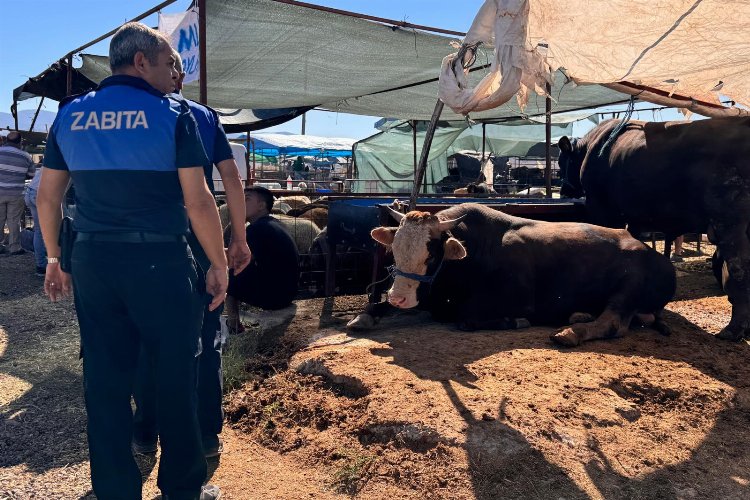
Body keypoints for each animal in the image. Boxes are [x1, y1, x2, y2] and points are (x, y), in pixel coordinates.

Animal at [350, 203, 680, 348]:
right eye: (394, 249)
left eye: (430, 255)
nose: (399, 297)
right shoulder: (428, 296)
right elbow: (375, 306)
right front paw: (364, 316)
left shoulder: (517, 300)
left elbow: (466, 319)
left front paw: (515, 321)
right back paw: (579, 315)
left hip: (629, 285)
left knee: (614, 322)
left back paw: (571, 332)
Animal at [560, 116, 750, 340]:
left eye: (562, 161)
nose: (563, 191)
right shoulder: (634, 220)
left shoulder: (603, 209)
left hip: (729, 222)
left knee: (740, 268)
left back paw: (733, 329)